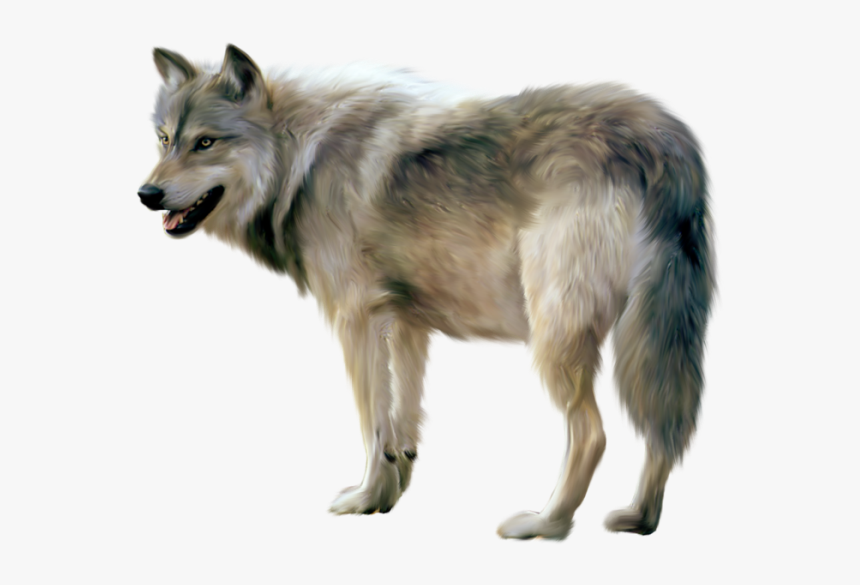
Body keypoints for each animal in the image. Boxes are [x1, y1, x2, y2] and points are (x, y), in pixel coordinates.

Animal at [138, 45, 714, 539]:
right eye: (165, 139)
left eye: (206, 142)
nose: (146, 193)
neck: (299, 157)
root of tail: (663, 136)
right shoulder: (406, 321)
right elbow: (402, 421)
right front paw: (391, 494)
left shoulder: (356, 318)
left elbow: (372, 421)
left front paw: (364, 497)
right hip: (652, 332)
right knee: (666, 425)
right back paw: (640, 518)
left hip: (556, 334)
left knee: (593, 433)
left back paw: (546, 524)